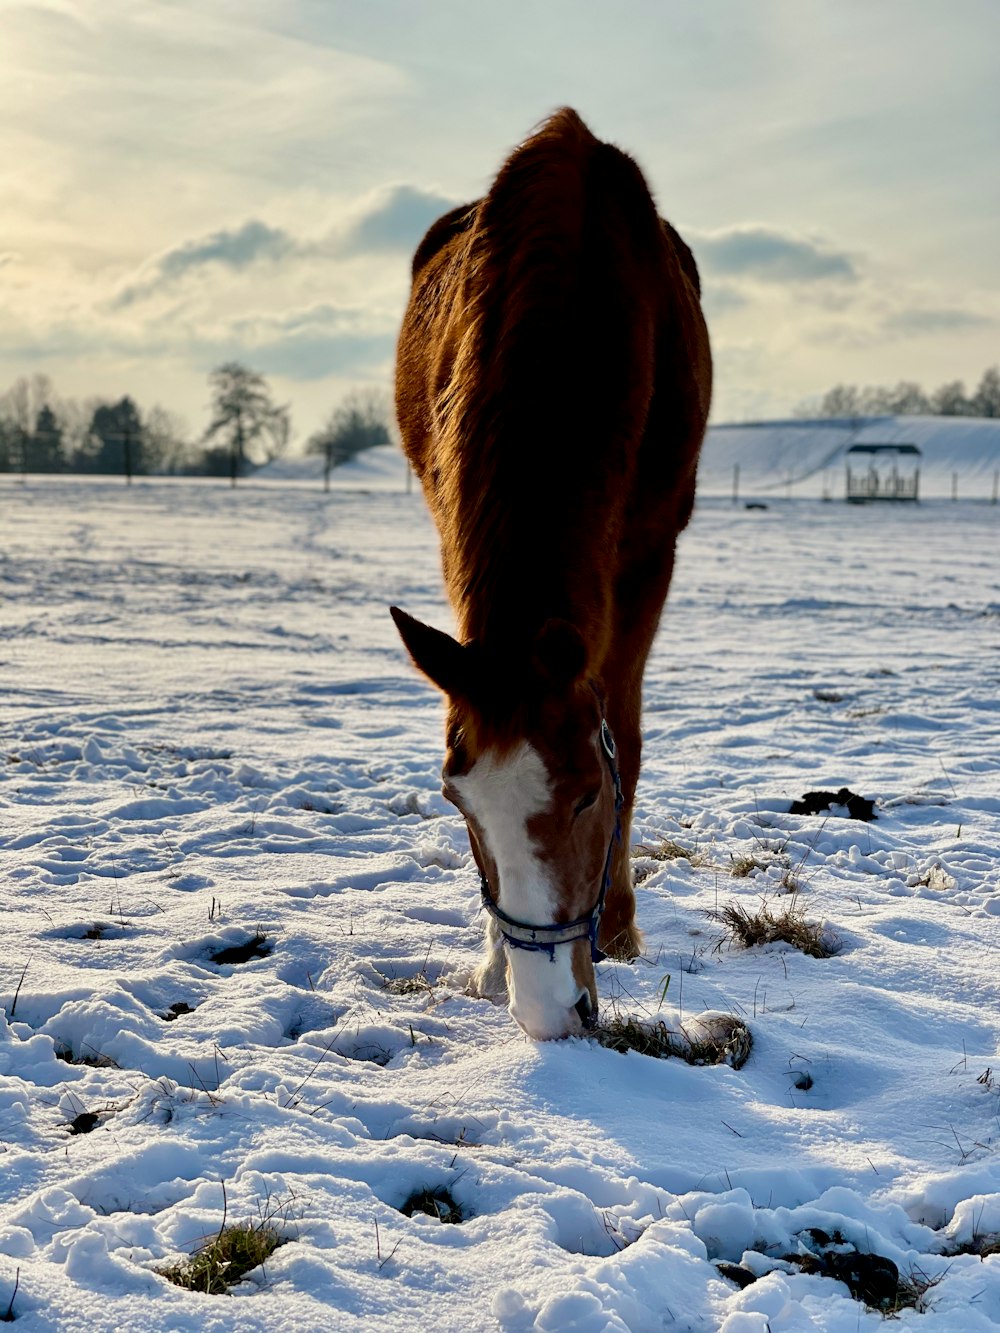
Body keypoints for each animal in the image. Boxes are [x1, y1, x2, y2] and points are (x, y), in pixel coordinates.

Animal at [392, 111, 714, 1039]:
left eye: (583, 796)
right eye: (458, 804)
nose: (550, 1013)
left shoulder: (649, 555)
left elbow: (629, 739)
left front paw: (622, 926)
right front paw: (495, 960)